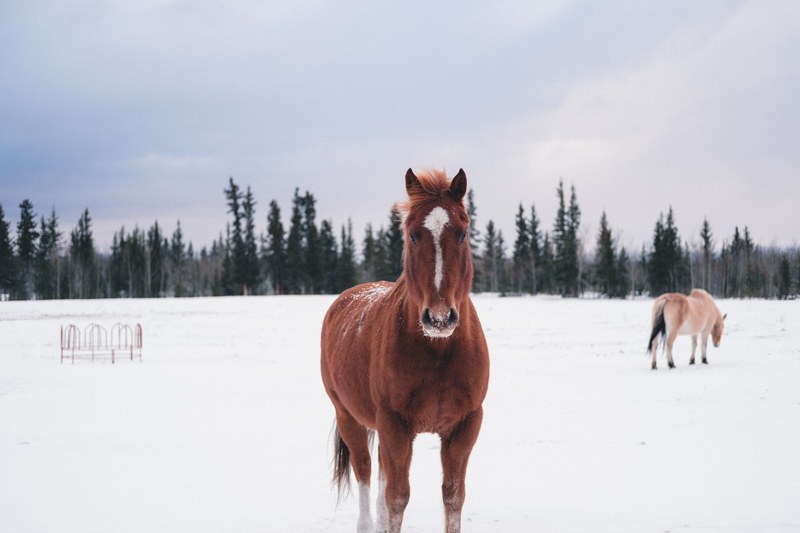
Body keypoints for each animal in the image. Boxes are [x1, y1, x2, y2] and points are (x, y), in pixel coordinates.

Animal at [320, 168, 490, 533]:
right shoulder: (394, 425)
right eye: (412, 235)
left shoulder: (465, 425)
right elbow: (397, 498)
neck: (437, 351)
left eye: (463, 233)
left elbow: (453, 497)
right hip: (349, 417)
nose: (439, 317)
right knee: (366, 474)